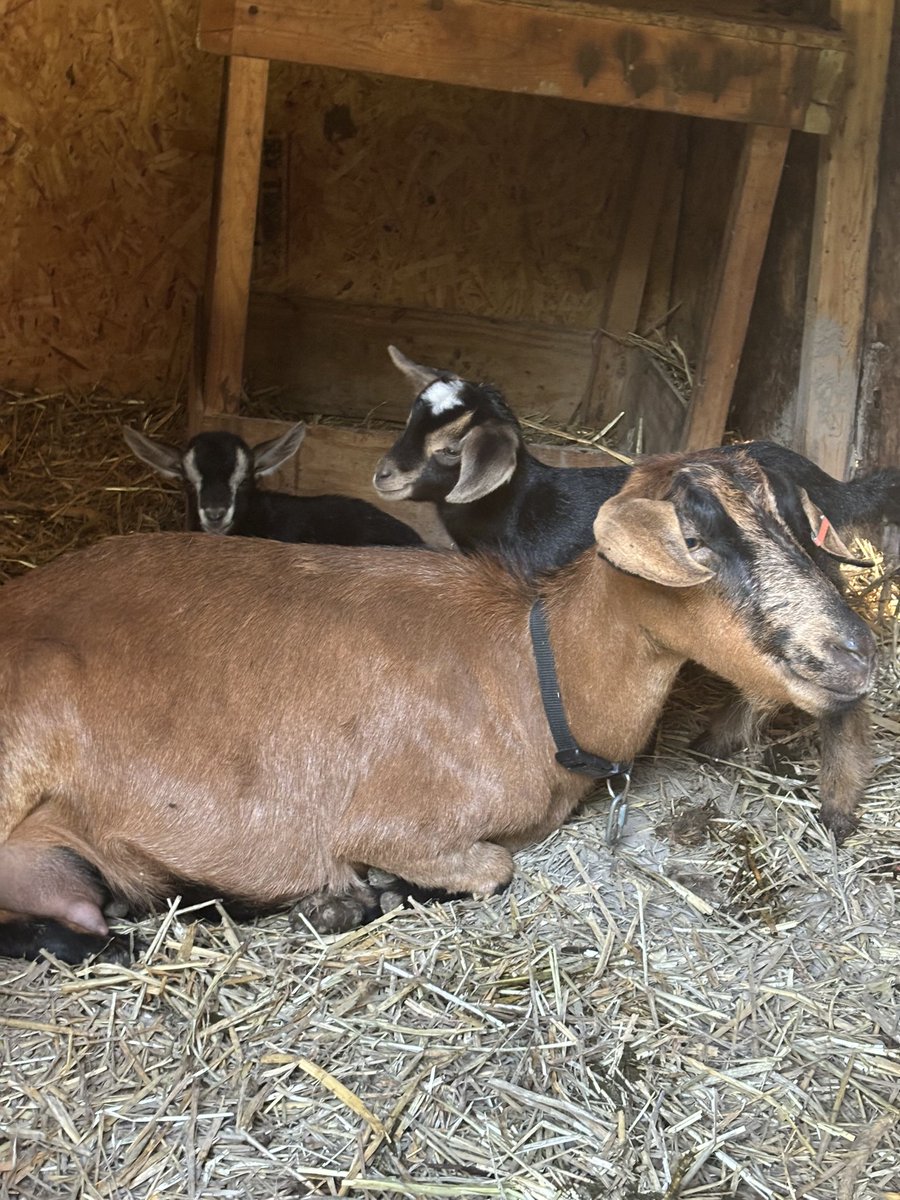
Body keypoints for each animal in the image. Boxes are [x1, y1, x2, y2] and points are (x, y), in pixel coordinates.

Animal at [0, 450, 876, 962]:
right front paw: (364, 890)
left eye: (800, 524)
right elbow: (492, 866)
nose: (855, 655)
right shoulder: (394, 822)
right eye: (699, 540)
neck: (533, 672)